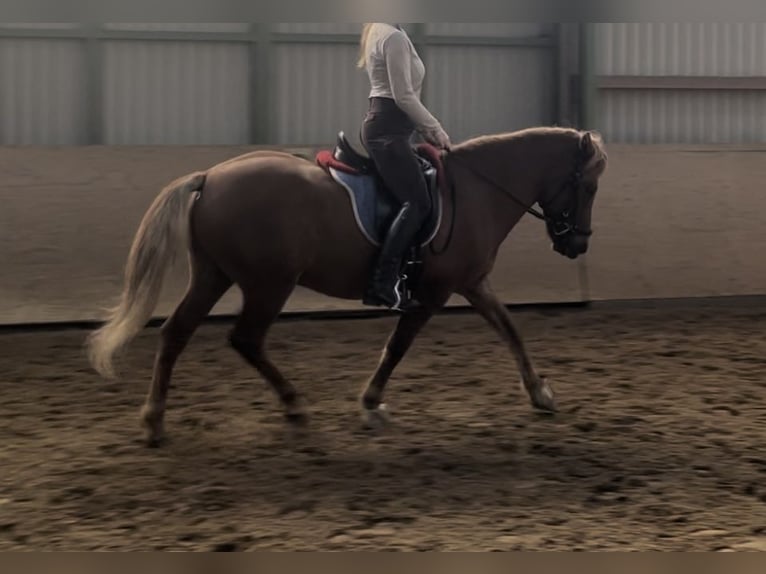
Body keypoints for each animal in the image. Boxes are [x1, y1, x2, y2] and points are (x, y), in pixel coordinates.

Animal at [86, 126, 608, 447]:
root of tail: (210, 176)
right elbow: (397, 347)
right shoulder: (435, 292)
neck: (478, 190)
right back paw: (294, 408)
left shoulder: (472, 283)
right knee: (245, 339)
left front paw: (540, 394)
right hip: (269, 282)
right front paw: (371, 404)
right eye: (588, 186)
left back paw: (154, 422)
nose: (578, 243)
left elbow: (510, 330)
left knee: (176, 333)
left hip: (215, 275)